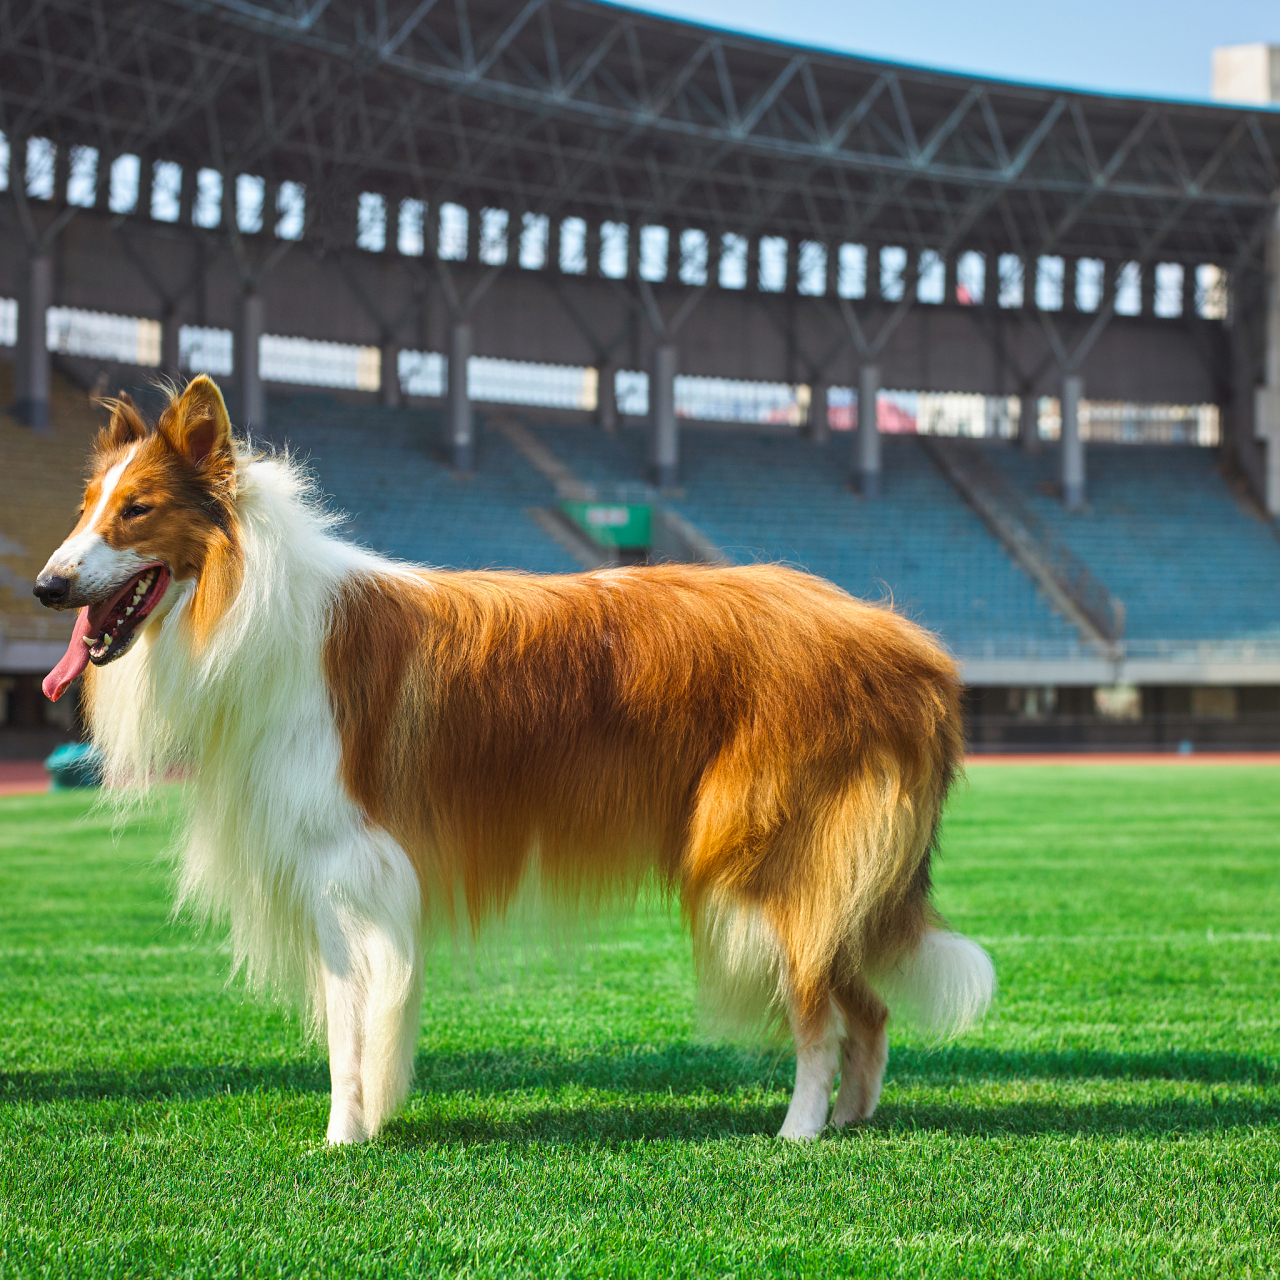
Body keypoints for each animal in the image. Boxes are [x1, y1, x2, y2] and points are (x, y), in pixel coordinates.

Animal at [30, 373, 993, 1141]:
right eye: (84, 508)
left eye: (137, 511)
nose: (43, 585)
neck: (245, 603)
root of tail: (916, 652)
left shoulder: (346, 871)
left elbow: (351, 1030)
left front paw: (344, 1139)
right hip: (824, 883)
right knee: (866, 1006)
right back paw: (850, 1122)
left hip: (767, 865)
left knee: (820, 1016)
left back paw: (798, 1133)